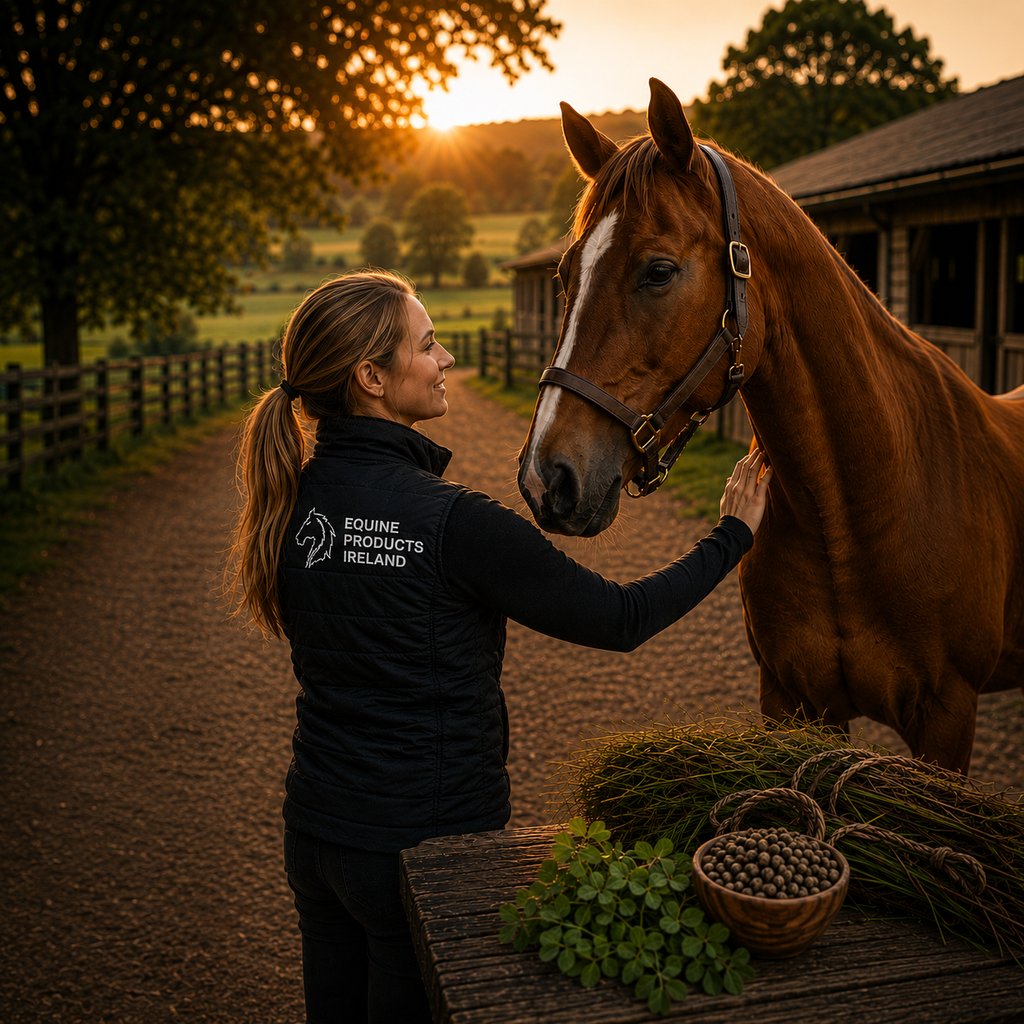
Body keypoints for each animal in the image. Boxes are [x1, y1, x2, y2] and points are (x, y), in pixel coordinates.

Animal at [517, 78, 1024, 773]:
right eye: (565, 275)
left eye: (659, 270)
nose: (547, 478)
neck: (859, 512)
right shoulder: (792, 700)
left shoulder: (946, 715)